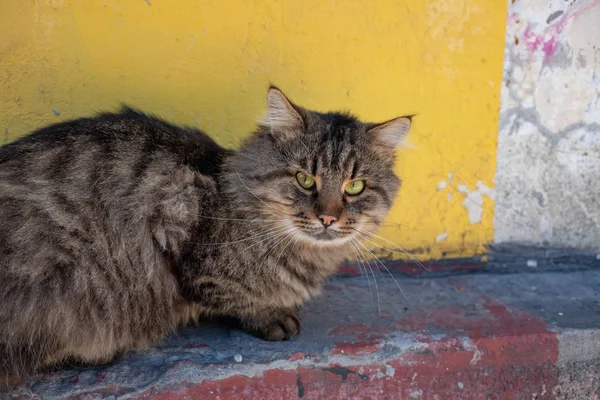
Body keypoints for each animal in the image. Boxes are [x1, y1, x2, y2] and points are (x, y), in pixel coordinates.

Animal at [0, 86, 412, 388]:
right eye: (304, 180)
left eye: (355, 187)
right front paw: (273, 316)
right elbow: (239, 299)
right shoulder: (189, 253)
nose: (327, 218)